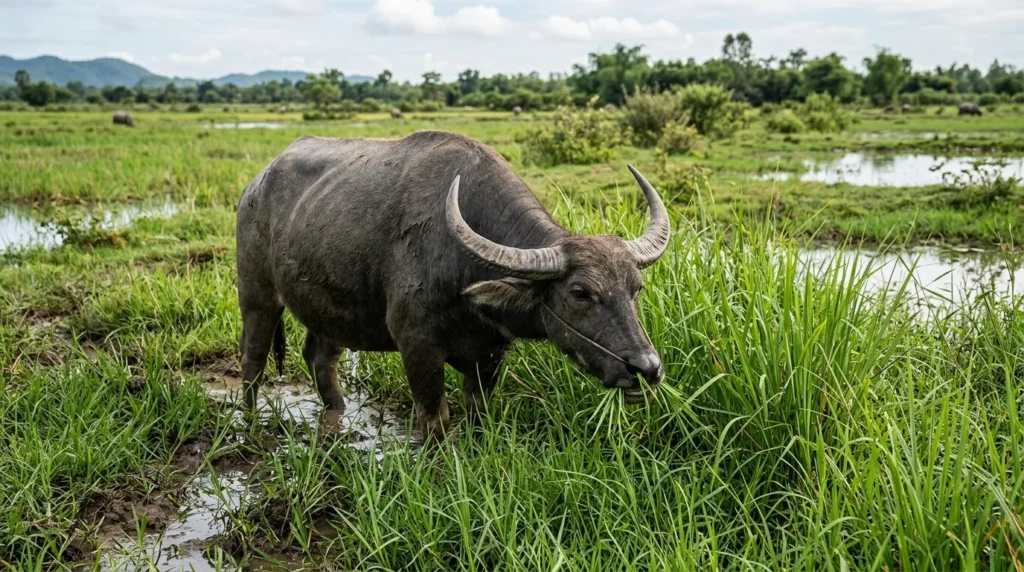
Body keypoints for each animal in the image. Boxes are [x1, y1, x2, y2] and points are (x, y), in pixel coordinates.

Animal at [236, 131, 671, 440]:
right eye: (580, 293)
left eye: (636, 288)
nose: (645, 368)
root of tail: (255, 185)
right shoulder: (417, 346)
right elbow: (436, 421)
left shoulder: (490, 355)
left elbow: (477, 413)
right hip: (256, 295)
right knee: (253, 362)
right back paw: (249, 424)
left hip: (329, 309)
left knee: (321, 358)